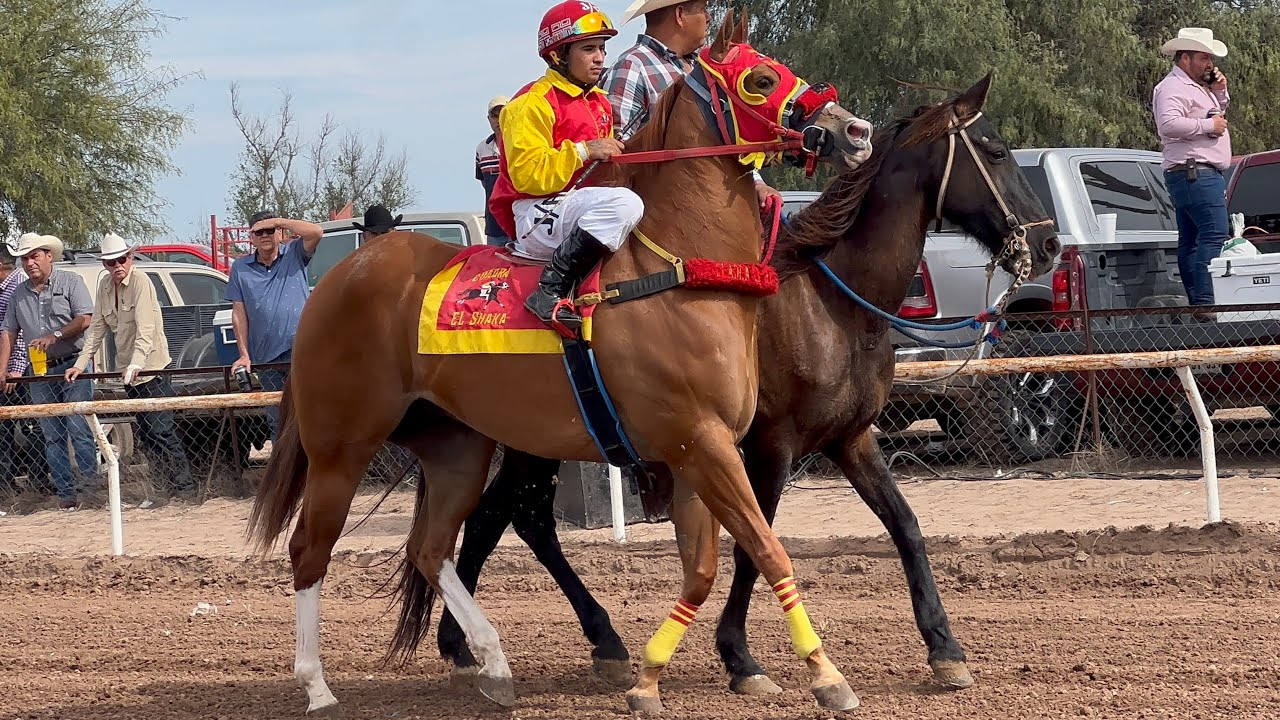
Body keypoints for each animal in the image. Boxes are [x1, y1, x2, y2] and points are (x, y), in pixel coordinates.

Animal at [246, 9, 874, 715]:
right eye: (761, 78)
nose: (855, 131)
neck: (677, 270)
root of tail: (336, 276)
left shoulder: (697, 451)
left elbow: (703, 570)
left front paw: (649, 677)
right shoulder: (702, 441)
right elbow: (769, 551)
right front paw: (826, 675)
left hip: (457, 446)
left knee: (430, 547)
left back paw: (494, 663)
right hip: (341, 445)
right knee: (310, 547)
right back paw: (317, 685)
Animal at [428, 72, 1061, 706]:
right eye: (997, 151)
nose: (1049, 244)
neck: (829, 305)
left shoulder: (851, 438)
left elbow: (905, 526)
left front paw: (944, 649)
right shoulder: (767, 446)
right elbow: (753, 546)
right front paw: (741, 656)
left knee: (506, 519)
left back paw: (517, 644)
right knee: (512, 519)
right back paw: (502, 646)